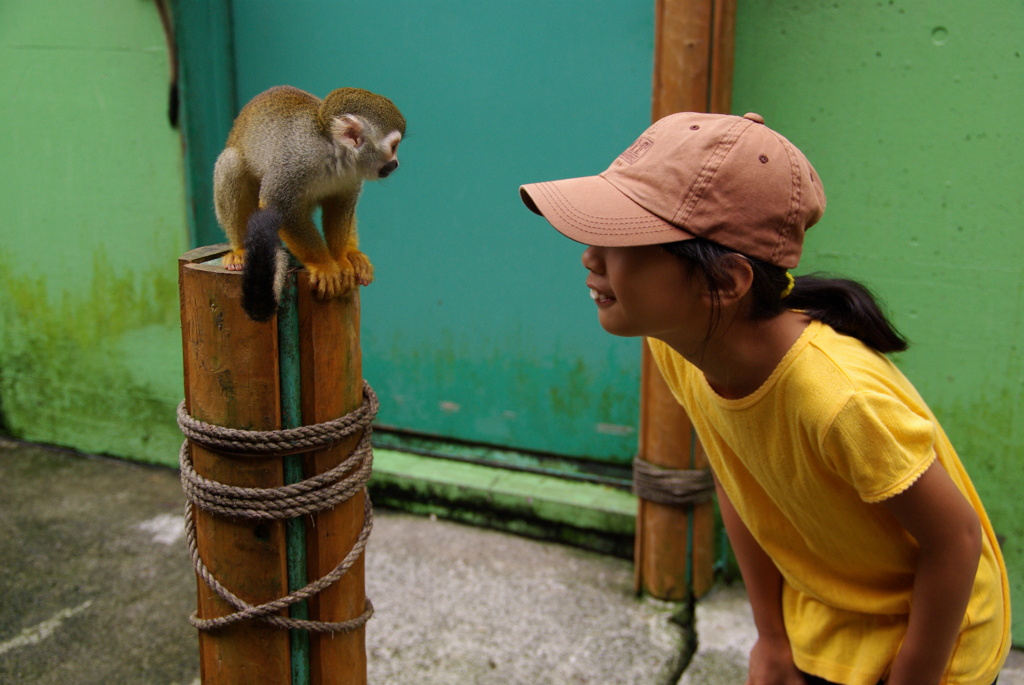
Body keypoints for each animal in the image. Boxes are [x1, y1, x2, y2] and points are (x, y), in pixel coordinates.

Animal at [214, 85, 405, 321]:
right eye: (394, 147)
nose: (395, 164)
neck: (333, 152)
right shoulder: (297, 161)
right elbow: (277, 204)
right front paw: (325, 266)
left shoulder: (352, 174)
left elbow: (341, 205)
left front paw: (341, 258)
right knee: (231, 163)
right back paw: (240, 249)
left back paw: (352, 252)